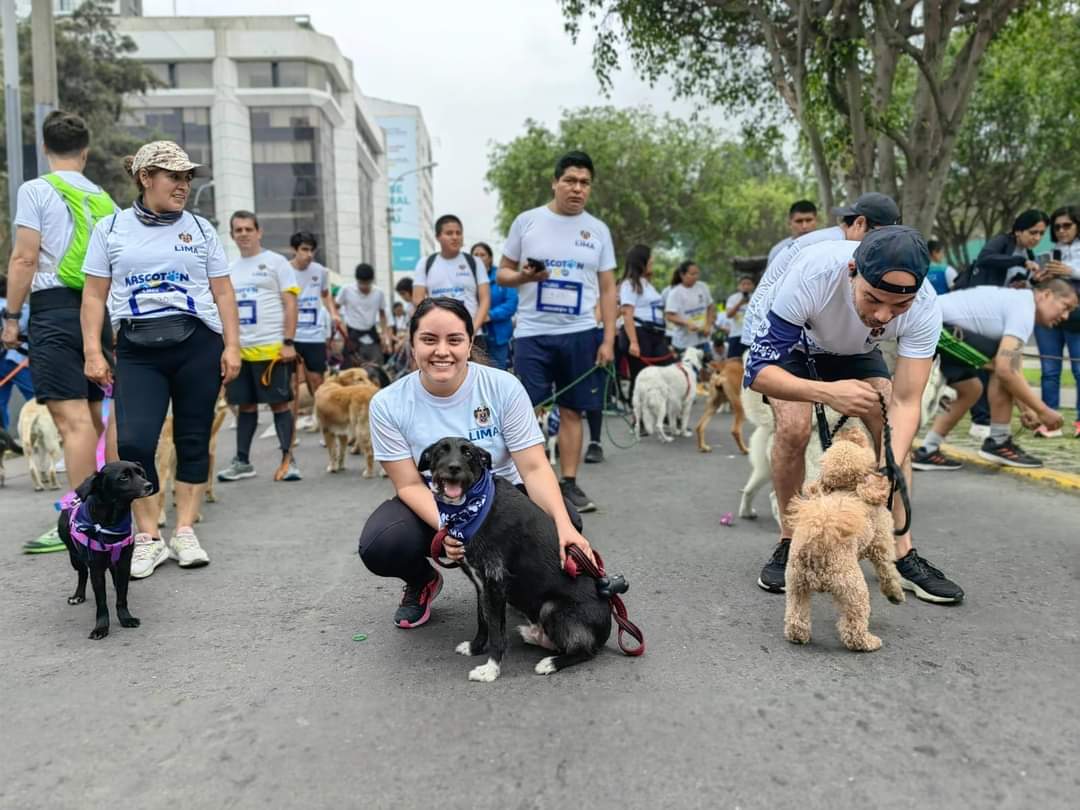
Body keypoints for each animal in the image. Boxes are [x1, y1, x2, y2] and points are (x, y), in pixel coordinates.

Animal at [60, 462, 155, 639]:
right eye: (123, 477)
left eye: (140, 473)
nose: (149, 485)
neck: (111, 522)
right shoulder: (96, 569)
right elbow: (101, 602)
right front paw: (101, 627)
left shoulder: (124, 564)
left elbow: (122, 596)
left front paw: (125, 618)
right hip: (75, 557)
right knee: (82, 574)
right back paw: (78, 596)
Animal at [416, 440, 613, 682]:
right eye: (440, 451)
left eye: (469, 453)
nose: (453, 467)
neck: (474, 507)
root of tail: (606, 631)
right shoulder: (482, 585)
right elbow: (484, 622)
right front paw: (475, 647)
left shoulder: (495, 582)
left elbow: (496, 633)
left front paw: (490, 670)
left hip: (551, 608)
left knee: (585, 651)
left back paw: (551, 663)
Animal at [786, 432, 902, 652]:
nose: (853, 431)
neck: (846, 490)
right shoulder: (881, 543)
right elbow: (888, 570)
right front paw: (895, 594)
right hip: (853, 588)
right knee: (854, 626)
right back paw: (868, 642)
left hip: (796, 584)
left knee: (796, 615)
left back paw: (797, 636)